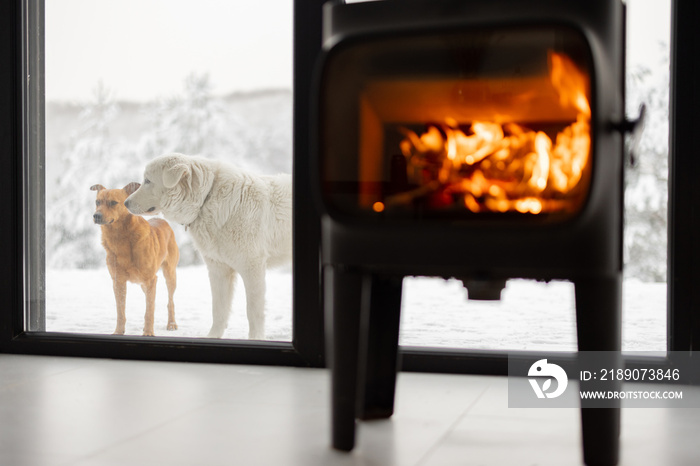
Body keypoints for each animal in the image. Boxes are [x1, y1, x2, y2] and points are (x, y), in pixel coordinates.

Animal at [91, 181, 179, 334]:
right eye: (97, 202)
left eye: (113, 203)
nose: (96, 216)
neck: (121, 239)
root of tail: (162, 220)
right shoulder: (118, 281)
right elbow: (120, 312)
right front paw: (118, 332)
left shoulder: (151, 279)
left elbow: (149, 311)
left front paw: (148, 333)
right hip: (144, 283)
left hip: (169, 274)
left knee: (170, 301)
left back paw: (171, 324)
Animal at [124, 153, 292, 338]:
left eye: (147, 180)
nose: (125, 203)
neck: (206, 200)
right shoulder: (218, 269)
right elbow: (218, 310)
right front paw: (212, 337)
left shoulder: (252, 268)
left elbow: (253, 312)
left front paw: (255, 339)